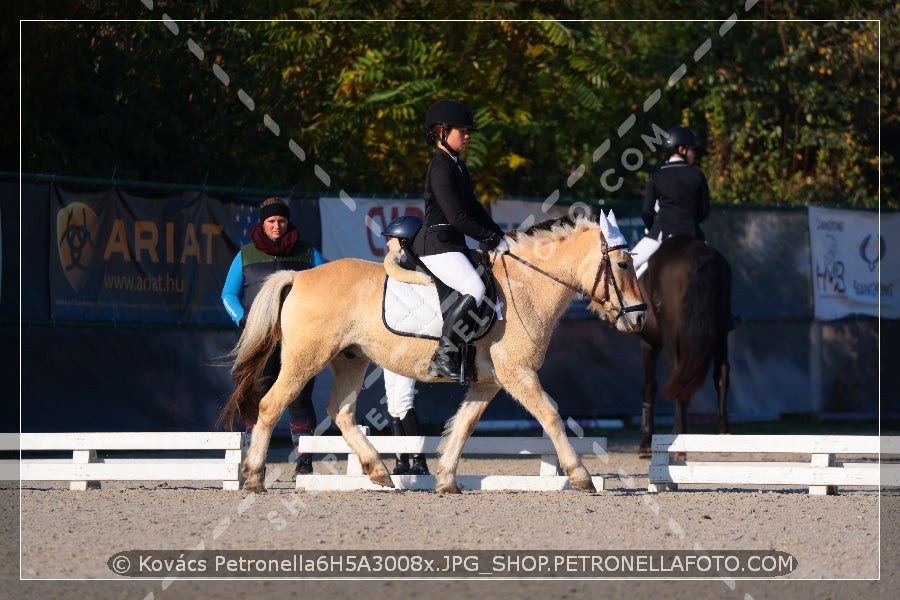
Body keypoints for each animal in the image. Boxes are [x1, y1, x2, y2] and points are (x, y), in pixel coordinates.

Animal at [632, 237, 732, 458]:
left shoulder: (649, 343)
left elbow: (648, 386)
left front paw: (646, 442)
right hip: (720, 333)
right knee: (721, 375)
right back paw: (722, 434)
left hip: (672, 338)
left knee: (679, 377)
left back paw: (680, 443)